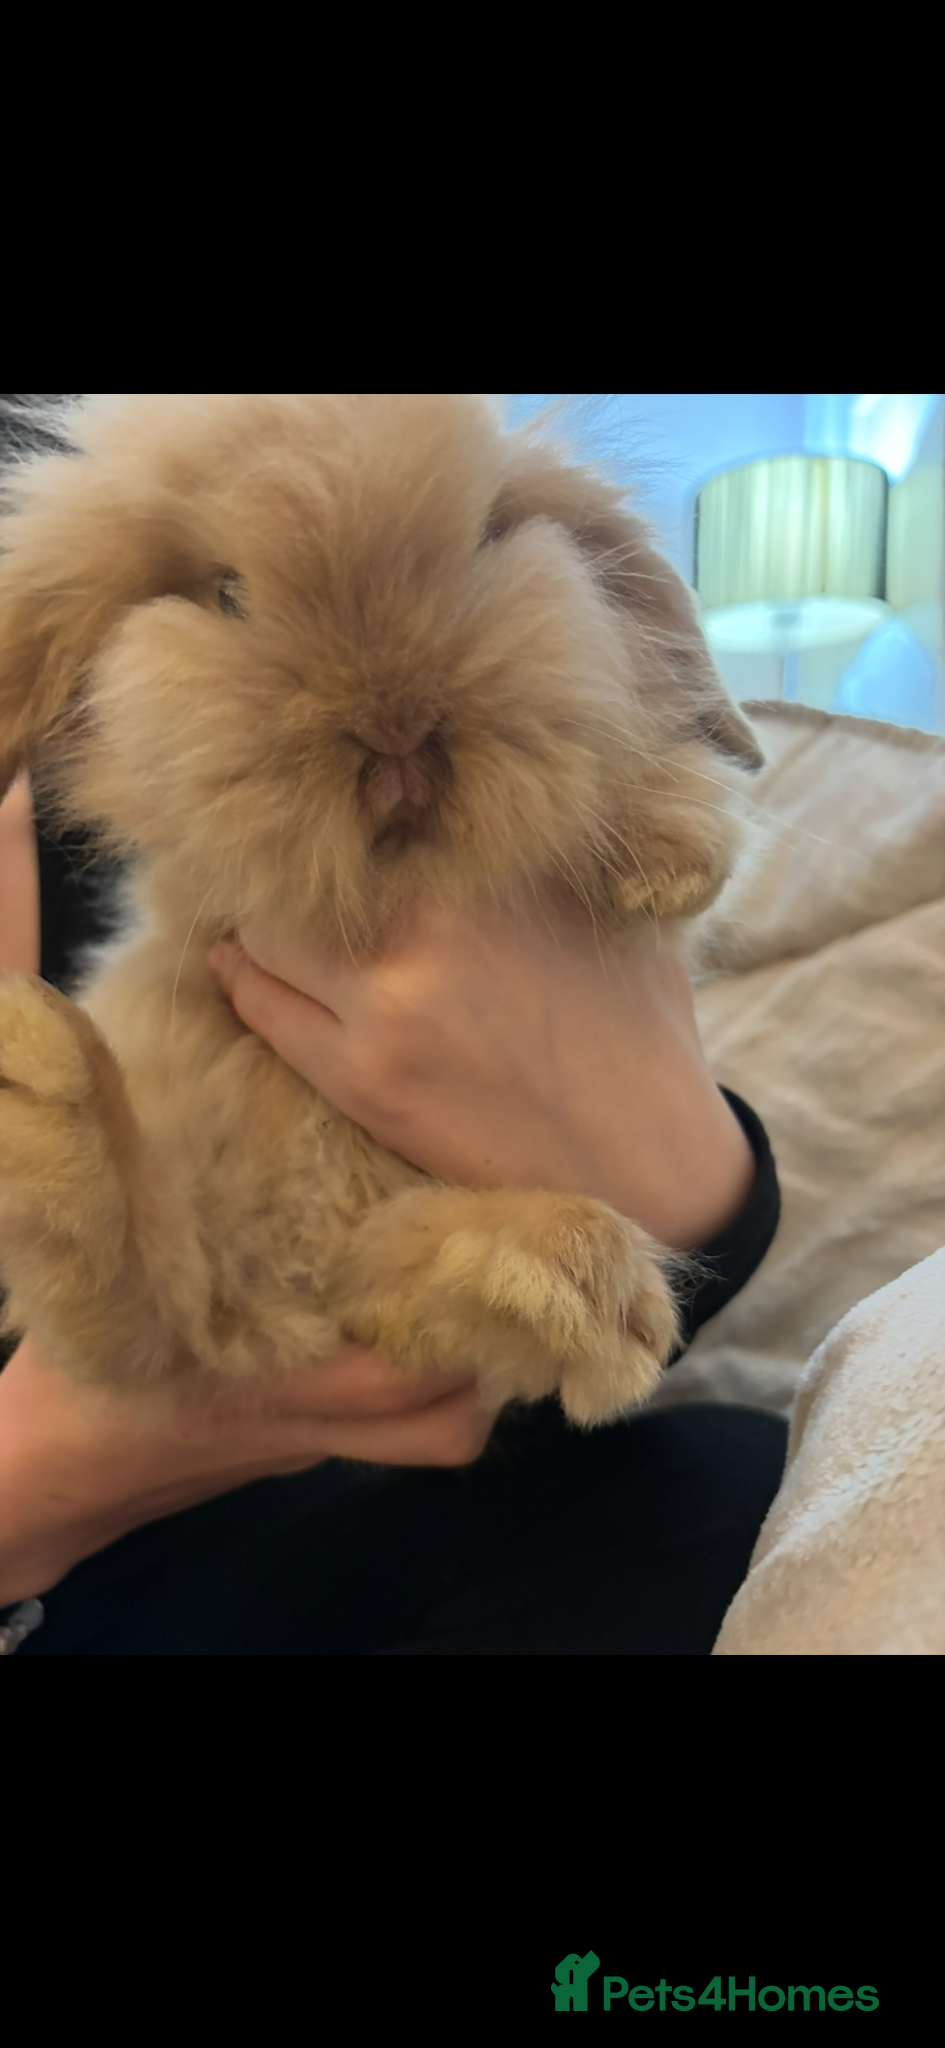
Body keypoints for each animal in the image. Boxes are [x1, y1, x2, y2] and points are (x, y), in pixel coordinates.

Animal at [0, 394, 762, 1426]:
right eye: (228, 593)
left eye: (484, 538)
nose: (395, 727)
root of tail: (269, 1307)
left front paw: (667, 853)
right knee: (135, 1320)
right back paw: (44, 1078)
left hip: (370, 1266)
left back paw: (560, 1284)